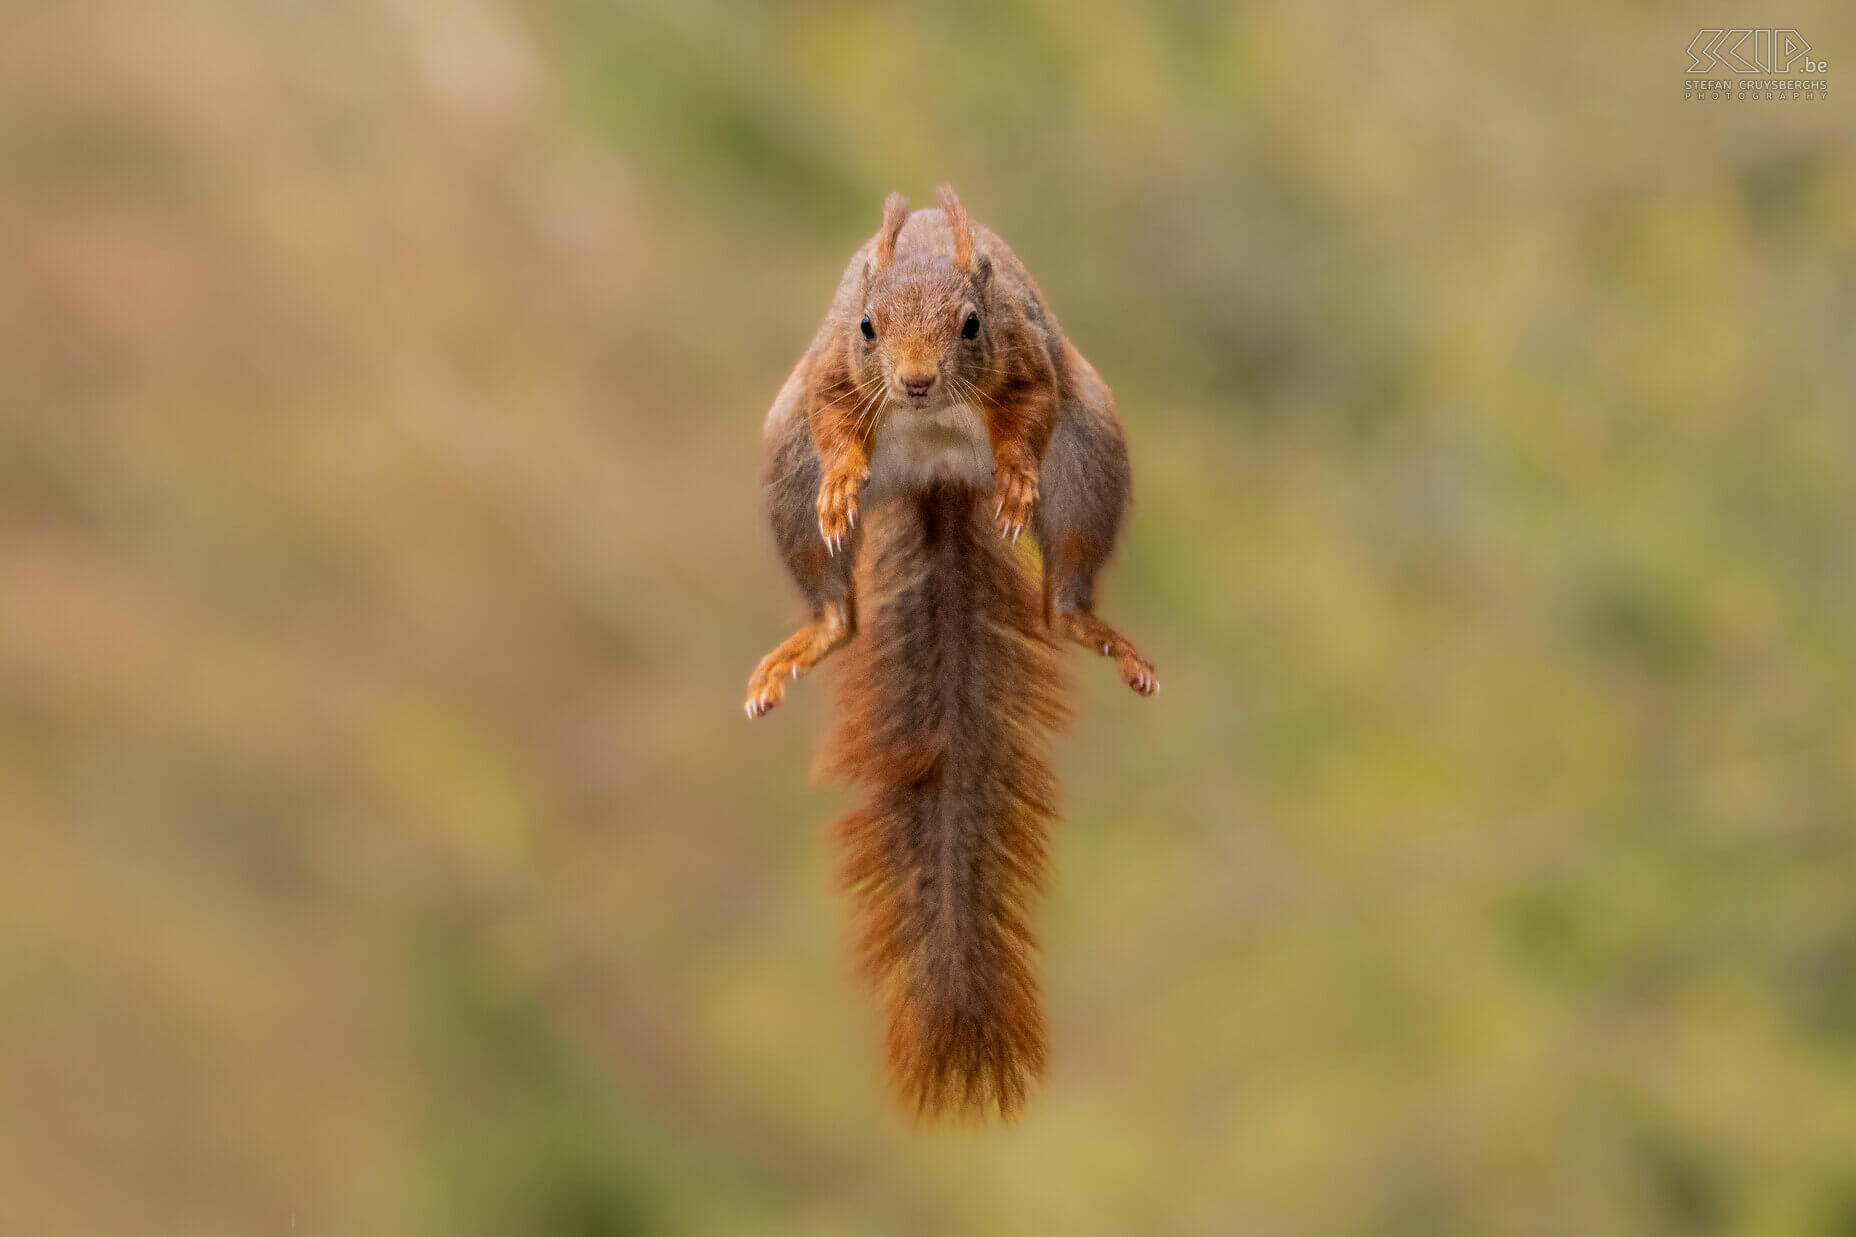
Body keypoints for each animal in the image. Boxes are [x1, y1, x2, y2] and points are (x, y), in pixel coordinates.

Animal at [742, 182, 1150, 1114]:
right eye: (866, 325)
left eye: (970, 324)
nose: (918, 382)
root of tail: (939, 477)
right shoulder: (831, 372)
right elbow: (835, 414)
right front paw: (842, 482)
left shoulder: (1026, 356)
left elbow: (1027, 412)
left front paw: (1017, 480)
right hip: (783, 466)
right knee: (837, 606)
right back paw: (809, 629)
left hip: (1091, 454)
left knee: (1064, 589)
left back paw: (1092, 623)